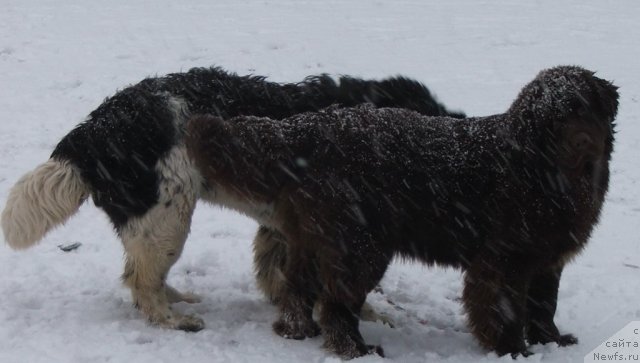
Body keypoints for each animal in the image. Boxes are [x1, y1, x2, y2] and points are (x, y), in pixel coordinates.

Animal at [0, 66, 460, 332]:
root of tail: (94, 131)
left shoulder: (287, 224)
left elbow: (280, 272)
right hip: (167, 218)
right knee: (141, 280)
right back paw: (175, 320)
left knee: (143, 274)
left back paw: (177, 298)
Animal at [188, 67, 616, 360]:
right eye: (553, 121)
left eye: (582, 108)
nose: (582, 142)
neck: (540, 170)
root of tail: (304, 127)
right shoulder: (504, 263)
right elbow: (507, 312)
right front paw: (514, 351)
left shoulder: (548, 260)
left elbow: (545, 306)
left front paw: (554, 342)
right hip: (360, 247)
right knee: (336, 304)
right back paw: (356, 349)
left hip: (315, 238)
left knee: (298, 289)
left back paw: (298, 331)